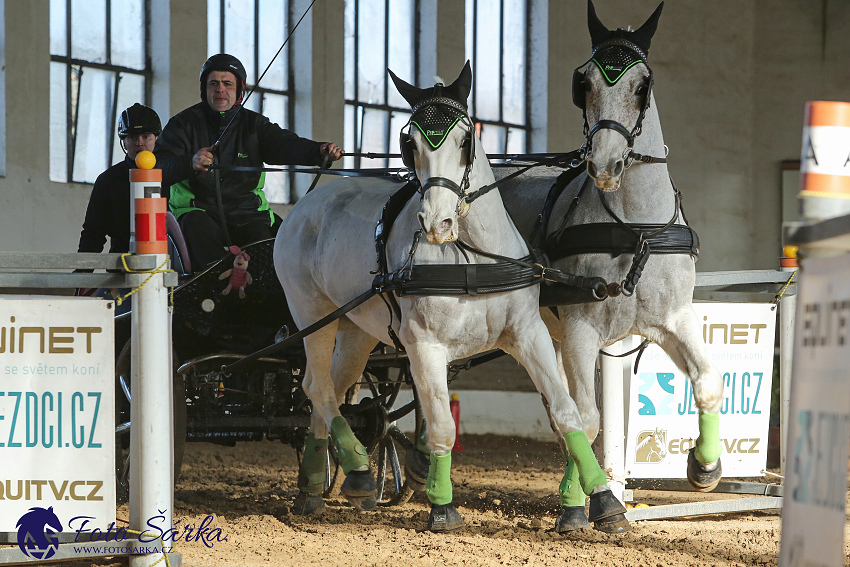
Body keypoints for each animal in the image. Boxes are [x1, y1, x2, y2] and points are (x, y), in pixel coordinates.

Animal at [274, 64, 628, 536]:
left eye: (465, 140)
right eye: (410, 144)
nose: (436, 222)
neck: (470, 257)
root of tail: (307, 202)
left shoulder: (528, 334)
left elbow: (566, 410)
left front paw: (605, 501)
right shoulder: (424, 346)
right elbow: (441, 427)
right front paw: (442, 507)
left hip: (357, 330)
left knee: (328, 387)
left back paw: (318, 483)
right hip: (313, 314)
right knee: (318, 387)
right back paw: (359, 468)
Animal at [500, 0, 724, 532]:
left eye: (642, 85)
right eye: (583, 83)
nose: (603, 165)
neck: (635, 228)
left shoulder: (671, 320)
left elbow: (707, 382)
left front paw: (703, 466)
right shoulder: (581, 328)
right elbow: (587, 418)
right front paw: (586, 504)